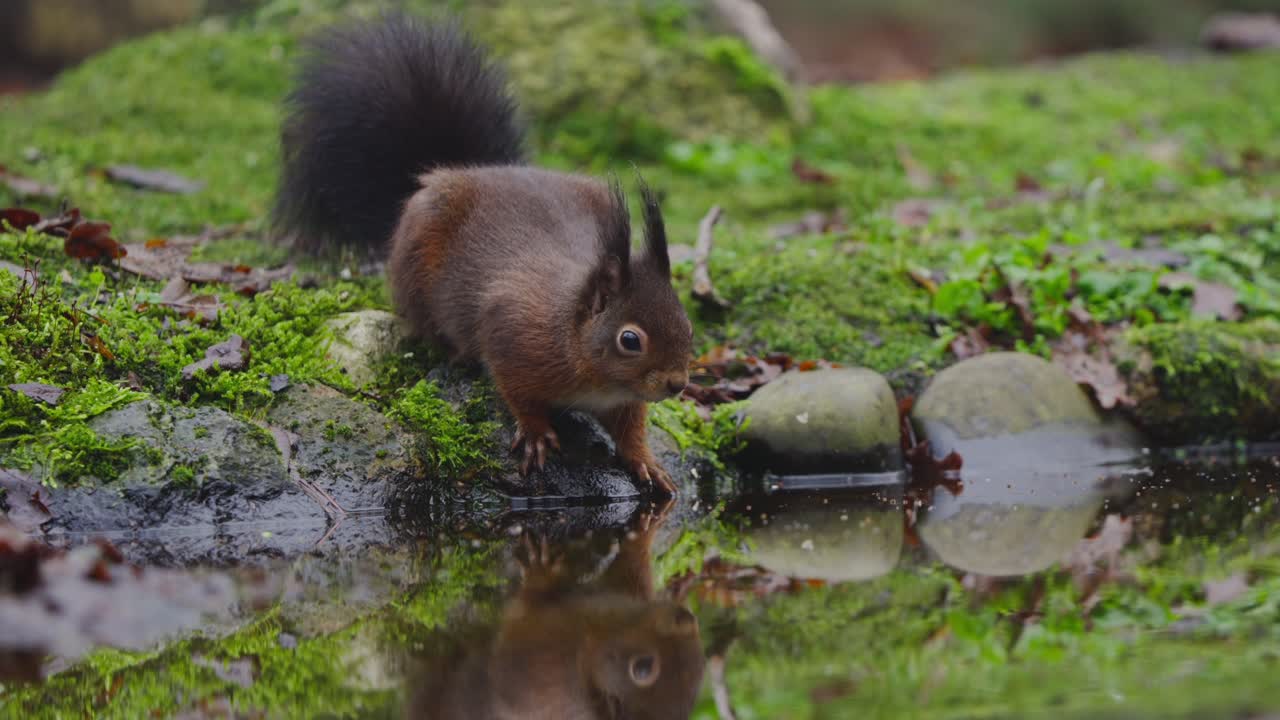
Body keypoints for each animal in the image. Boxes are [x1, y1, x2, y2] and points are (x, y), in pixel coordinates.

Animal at [271, 14, 693, 495]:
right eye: (630, 340)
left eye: (687, 324)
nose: (678, 384)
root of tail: (461, 169)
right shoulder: (511, 331)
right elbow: (516, 390)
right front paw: (535, 431)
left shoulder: (624, 398)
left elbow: (630, 427)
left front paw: (645, 460)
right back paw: (452, 351)